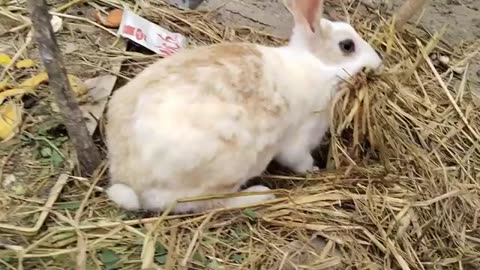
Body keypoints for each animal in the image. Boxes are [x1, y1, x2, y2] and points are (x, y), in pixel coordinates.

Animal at [105, 0, 382, 215]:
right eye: (347, 45)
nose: (378, 63)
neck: (317, 65)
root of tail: (127, 178)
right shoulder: (299, 138)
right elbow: (298, 160)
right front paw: (314, 170)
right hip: (224, 170)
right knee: (203, 203)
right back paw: (260, 194)